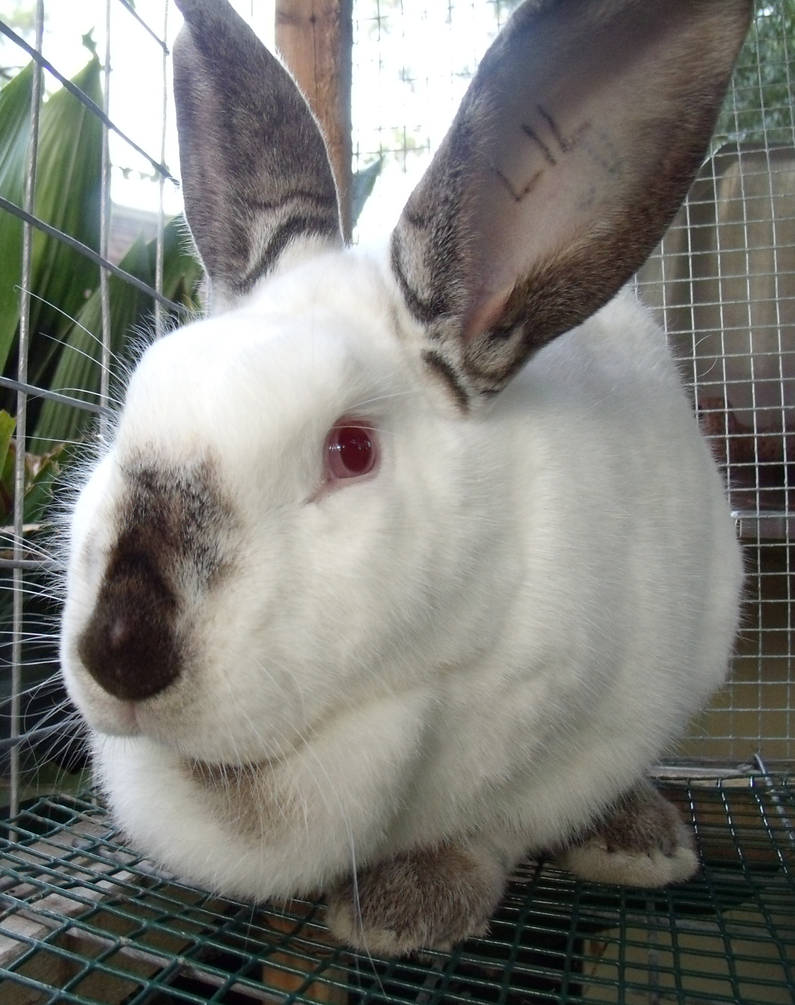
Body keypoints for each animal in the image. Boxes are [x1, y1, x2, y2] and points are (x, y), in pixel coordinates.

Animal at [59, 0, 750, 957]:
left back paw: (639, 842)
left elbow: (495, 827)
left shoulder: (584, 733)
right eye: (136, 398)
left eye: (352, 450)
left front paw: (404, 906)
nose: (120, 648)